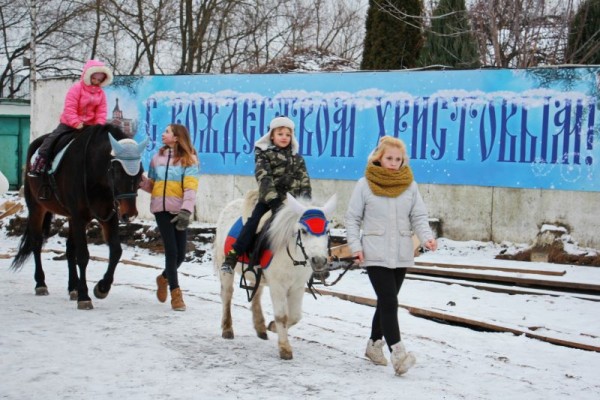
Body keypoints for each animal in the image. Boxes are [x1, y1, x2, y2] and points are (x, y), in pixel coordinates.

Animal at [10, 124, 148, 310]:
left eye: (140, 173)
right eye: (117, 172)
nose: (130, 215)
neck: (94, 172)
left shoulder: (108, 216)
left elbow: (116, 251)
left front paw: (101, 288)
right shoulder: (78, 216)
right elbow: (83, 256)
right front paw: (84, 296)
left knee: (69, 249)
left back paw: (72, 287)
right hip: (37, 207)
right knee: (37, 243)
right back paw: (41, 284)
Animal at [216, 191, 338, 360]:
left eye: (326, 231)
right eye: (304, 231)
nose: (319, 261)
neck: (293, 256)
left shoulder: (297, 287)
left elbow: (295, 316)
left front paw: (272, 326)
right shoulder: (277, 286)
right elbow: (282, 316)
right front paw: (285, 348)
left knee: (256, 295)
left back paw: (260, 327)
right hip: (226, 268)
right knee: (227, 294)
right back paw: (227, 329)